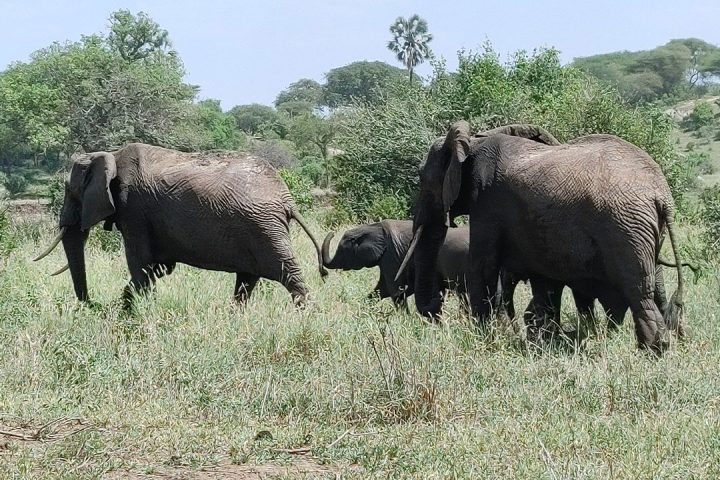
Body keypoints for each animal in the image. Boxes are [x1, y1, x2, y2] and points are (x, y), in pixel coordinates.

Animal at [34, 143, 327, 307]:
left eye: (71, 192)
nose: (89, 305)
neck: (111, 156)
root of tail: (286, 199)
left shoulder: (134, 209)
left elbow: (140, 262)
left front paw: (135, 311)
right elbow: (159, 267)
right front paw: (127, 305)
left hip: (263, 227)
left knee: (287, 274)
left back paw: (305, 314)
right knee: (247, 280)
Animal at [321, 220, 469, 309]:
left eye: (342, 251)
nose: (332, 233)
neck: (372, 227)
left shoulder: (391, 256)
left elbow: (394, 290)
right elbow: (382, 290)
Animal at [400, 122, 685, 352]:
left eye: (422, 178)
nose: (434, 310)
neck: (474, 140)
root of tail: (661, 194)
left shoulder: (487, 203)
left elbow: (481, 268)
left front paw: (484, 339)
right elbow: (543, 282)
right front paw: (541, 340)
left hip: (625, 229)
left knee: (639, 291)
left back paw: (653, 350)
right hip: (644, 230)